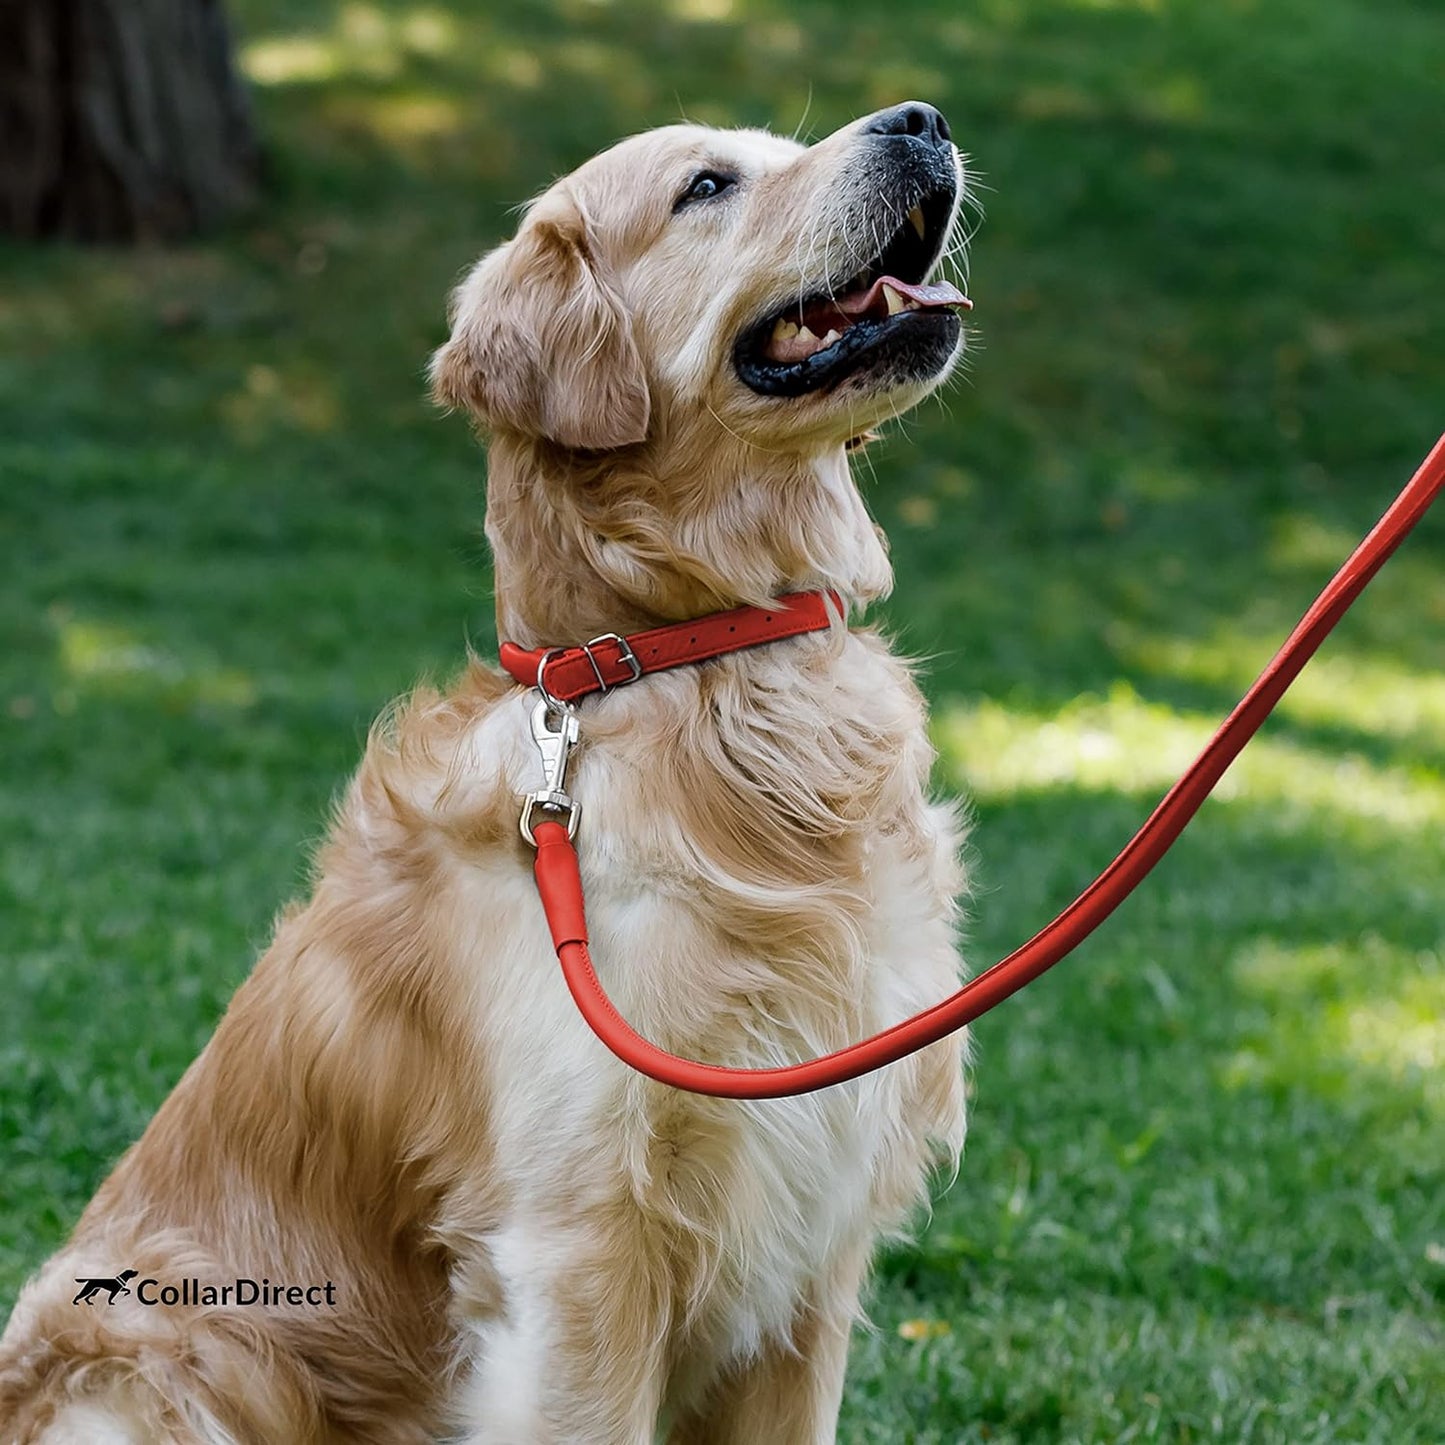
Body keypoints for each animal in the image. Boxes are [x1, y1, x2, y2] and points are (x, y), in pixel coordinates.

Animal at [2, 104, 971, 1445]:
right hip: (166, 1353)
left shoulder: (812, 1248)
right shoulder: (579, 1245)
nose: (921, 120)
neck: (702, 672)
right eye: (706, 185)